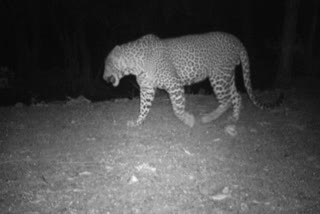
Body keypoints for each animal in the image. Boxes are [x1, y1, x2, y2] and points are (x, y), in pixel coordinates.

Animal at [103, 31, 282, 127]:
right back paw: (234, 119)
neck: (134, 65)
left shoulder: (174, 84)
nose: (104, 78)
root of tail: (236, 39)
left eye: (107, 64)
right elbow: (143, 108)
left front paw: (188, 120)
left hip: (218, 76)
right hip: (227, 76)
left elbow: (177, 109)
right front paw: (137, 122)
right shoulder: (147, 89)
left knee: (226, 100)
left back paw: (208, 118)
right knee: (236, 96)